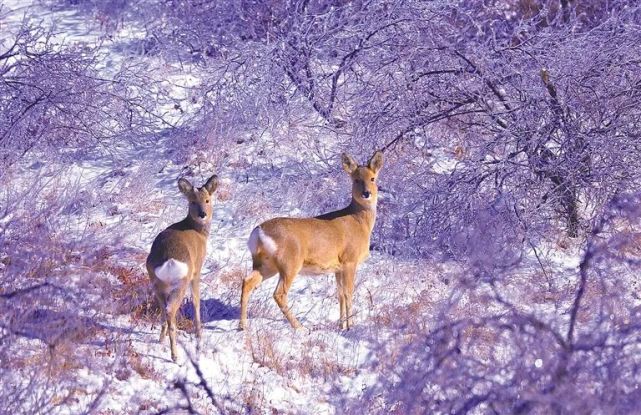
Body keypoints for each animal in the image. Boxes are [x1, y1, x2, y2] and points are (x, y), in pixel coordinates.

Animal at [146, 174, 219, 362]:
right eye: (192, 201)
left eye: (207, 200)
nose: (203, 214)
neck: (198, 232)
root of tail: (169, 260)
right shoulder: (197, 270)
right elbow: (196, 301)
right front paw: (199, 334)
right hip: (181, 281)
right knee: (170, 310)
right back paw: (175, 355)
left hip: (155, 281)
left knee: (163, 311)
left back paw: (161, 339)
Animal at [239, 152, 380, 332]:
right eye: (356, 179)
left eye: (373, 178)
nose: (366, 193)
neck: (359, 222)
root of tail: (258, 233)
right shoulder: (350, 260)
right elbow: (349, 293)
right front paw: (351, 327)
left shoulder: (338, 267)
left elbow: (340, 295)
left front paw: (341, 326)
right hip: (289, 262)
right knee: (279, 294)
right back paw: (299, 327)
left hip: (265, 264)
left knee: (247, 282)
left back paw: (242, 326)